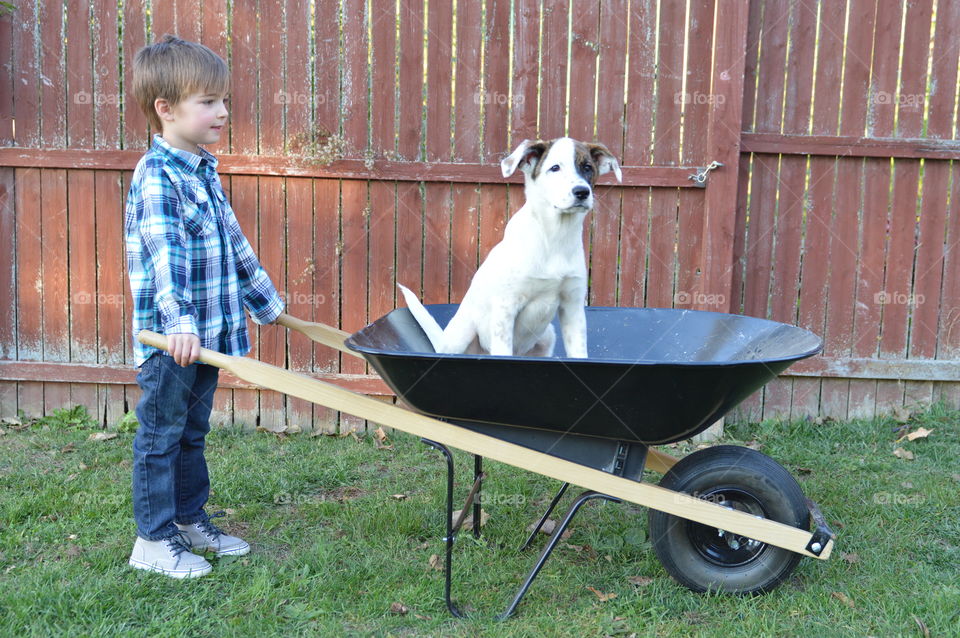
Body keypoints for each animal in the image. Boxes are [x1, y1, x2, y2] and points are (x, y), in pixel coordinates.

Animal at [398, 139, 624, 360]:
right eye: (555, 168)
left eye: (587, 167)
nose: (582, 192)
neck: (554, 237)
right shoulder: (506, 306)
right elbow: (503, 350)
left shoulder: (573, 305)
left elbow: (578, 352)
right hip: (462, 334)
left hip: (547, 337)